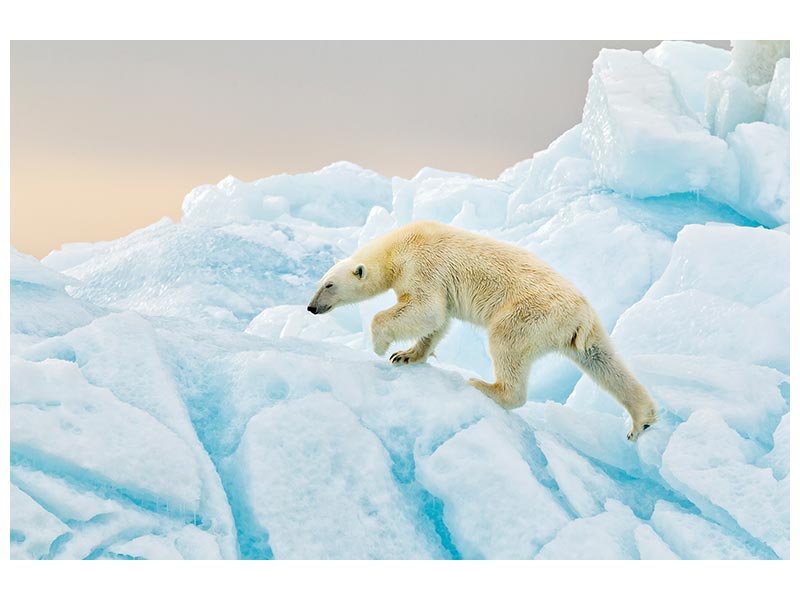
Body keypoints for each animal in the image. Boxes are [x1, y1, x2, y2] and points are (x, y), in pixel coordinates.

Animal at [306, 220, 656, 440]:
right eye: (320, 281)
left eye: (329, 285)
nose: (311, 307)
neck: (398, 246)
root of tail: (578, 316)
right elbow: (438, 320)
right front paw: (404, 355)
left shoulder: (423, 265)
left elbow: (426, 309)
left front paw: (381, 346)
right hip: (581, 330)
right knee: (603, 361)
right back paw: (641, 421)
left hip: (528, 314)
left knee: (506, 343)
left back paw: (484, 386)